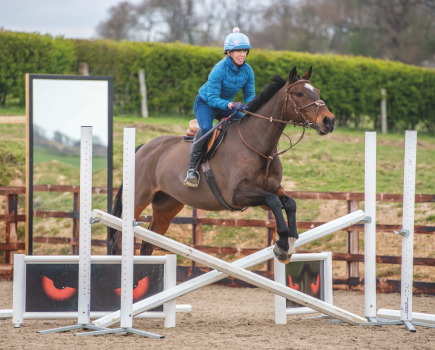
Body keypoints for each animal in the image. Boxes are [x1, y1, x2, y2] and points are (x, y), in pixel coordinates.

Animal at [108, 65, 338, 262]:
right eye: (299, 94)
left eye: (317, 91)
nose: (329, 121)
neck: (257, 144)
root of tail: (143, 148)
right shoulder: (237, 194)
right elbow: (273, 201)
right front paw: (282, 241)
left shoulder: (271, 189)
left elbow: (289, 203)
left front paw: (289, 241)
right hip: (138, 199)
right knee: (119, 239)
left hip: (167, 205)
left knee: (148, 244)